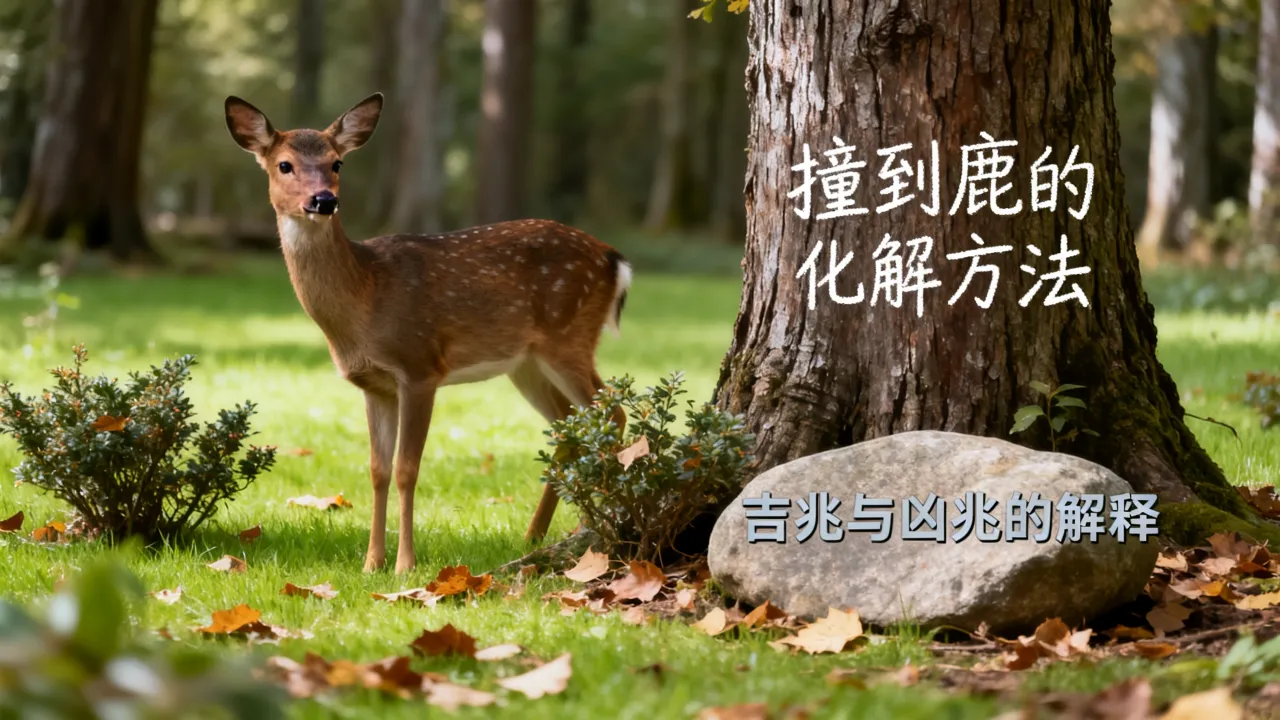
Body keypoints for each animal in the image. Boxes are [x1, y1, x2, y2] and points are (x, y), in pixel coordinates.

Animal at [223, 93, 632, 574]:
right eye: (284, 164)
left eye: (337, 162)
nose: (323, 200)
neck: (365, 299)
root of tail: (613, 259)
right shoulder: (373, 384)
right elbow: (377, 470)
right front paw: (371, 562)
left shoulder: (419, 366)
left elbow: (406, 468)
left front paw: (404, 564)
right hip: (527, 364)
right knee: (571, 427)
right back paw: (546, 533)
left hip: (569, 335)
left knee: (611, 413)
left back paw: (604, 523)